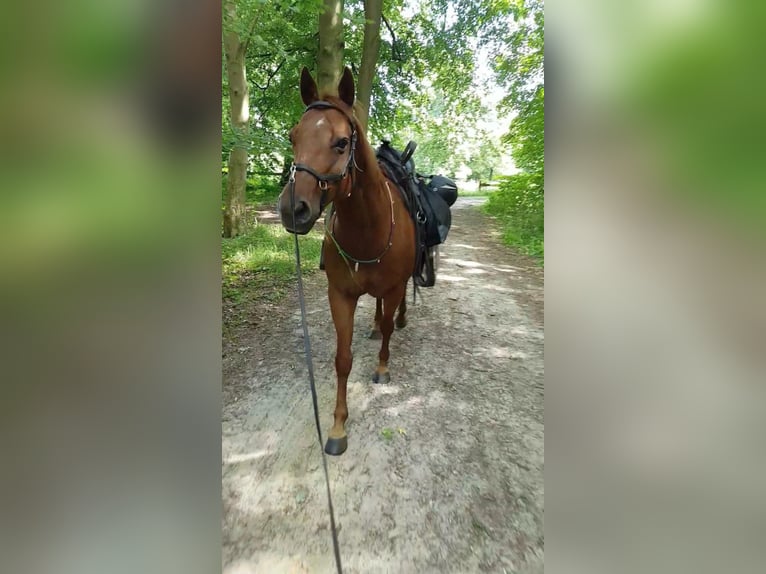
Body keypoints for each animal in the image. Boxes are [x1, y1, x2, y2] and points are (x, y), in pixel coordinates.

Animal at [280, 67, 416, 456]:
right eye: (293, 137)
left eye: (342, 142)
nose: (292, 209)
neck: (368, 228)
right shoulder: (340, 295)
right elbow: (343, 359)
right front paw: (338, 426)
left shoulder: (393, 285)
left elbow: (388, 327)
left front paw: (383, 368)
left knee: (395, 308)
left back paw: (399, 319)